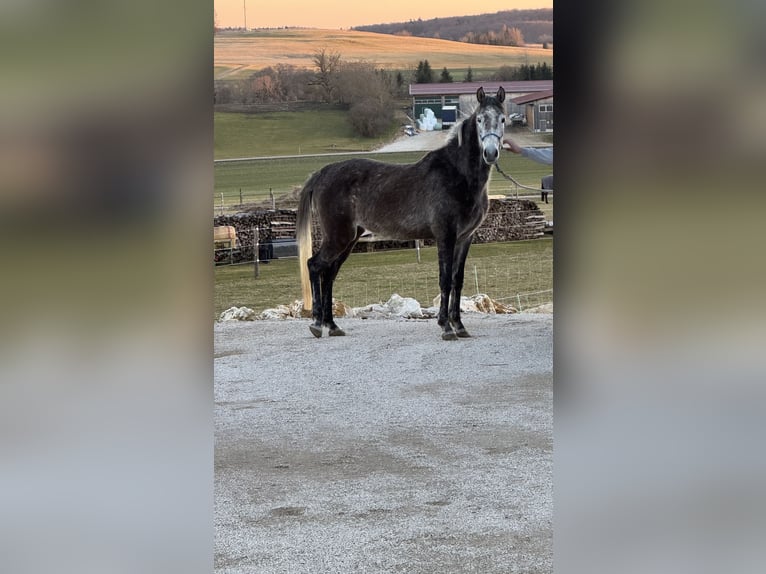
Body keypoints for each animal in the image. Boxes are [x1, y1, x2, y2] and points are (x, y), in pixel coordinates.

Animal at [296, 86, 506, 340]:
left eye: (502, 119)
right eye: (480, 119)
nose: (490, 153)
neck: (458, 175)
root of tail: (323, 173)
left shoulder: (465, 238)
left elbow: (458, 280)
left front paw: (459, 325)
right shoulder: (445, 236)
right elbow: (445, 280)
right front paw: (446, 327)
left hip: (349, 239)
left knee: (329, 275)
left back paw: (333, 325)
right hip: (338, 237)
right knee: (314, 266)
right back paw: (317, 323)